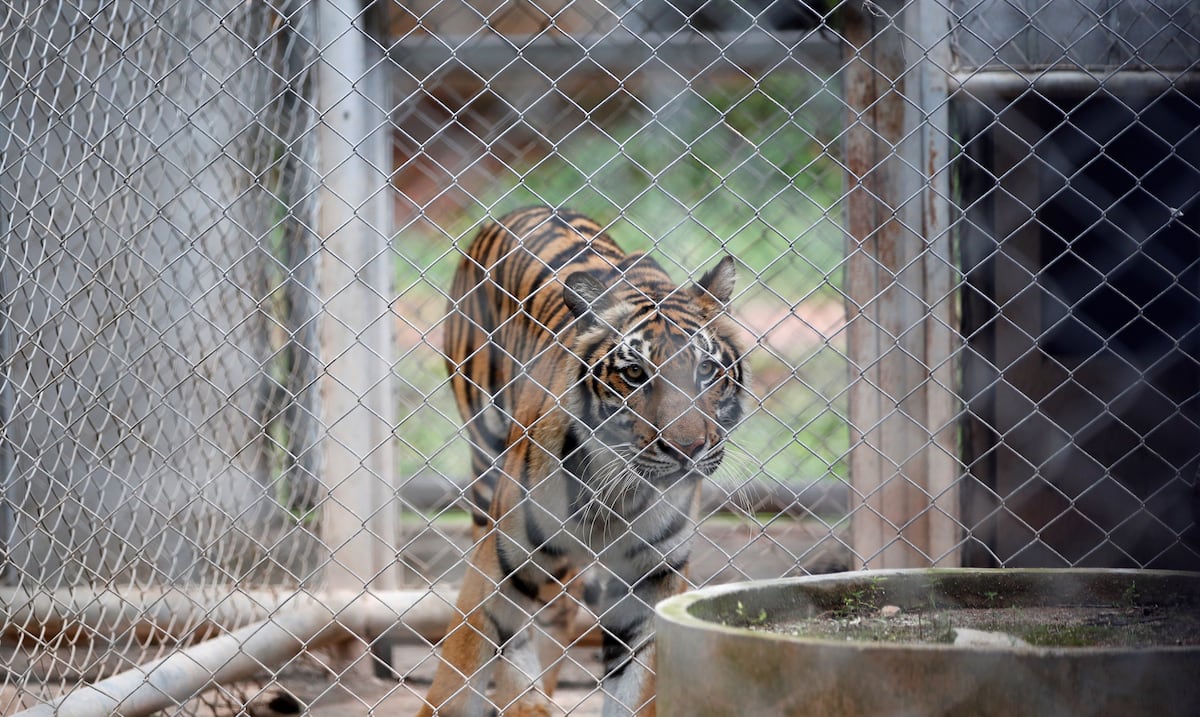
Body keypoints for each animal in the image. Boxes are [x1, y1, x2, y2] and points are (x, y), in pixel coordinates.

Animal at [418, 206, 749, 717]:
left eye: (707, 370)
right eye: (634, 373)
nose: (687, 449)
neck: (617, 495)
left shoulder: (651, 581)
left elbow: (634, 688)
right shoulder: (500, 559)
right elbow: (460, 671)